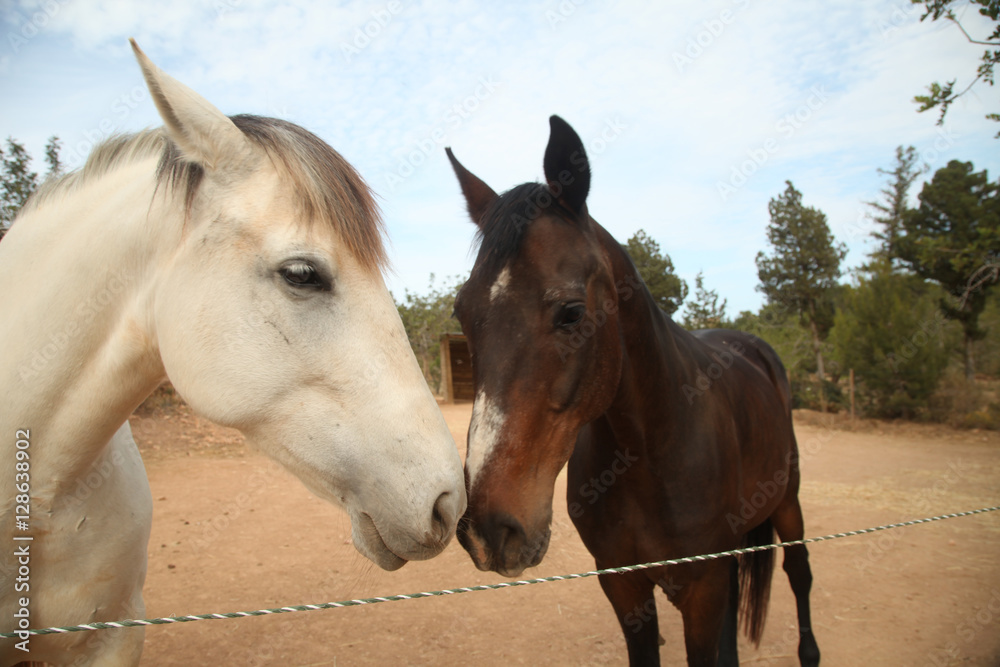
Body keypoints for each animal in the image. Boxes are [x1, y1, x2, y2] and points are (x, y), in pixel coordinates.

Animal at [445, 116, 820, 666]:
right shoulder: (624, 586)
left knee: (800, 571)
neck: (651, 452)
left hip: (787, 503)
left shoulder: (703, 588)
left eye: (571, 313)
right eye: (463, 313)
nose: (489, 529)